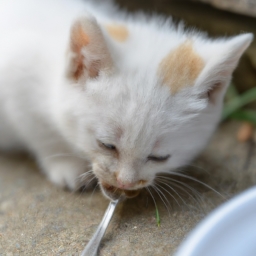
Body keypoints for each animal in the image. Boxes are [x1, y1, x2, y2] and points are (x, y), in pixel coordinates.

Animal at [0, 0, 252, 200]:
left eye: (160, 157)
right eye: (106, 145)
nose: (125, 182)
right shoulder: (17, 72)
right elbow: (41, 133)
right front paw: (68, 166)